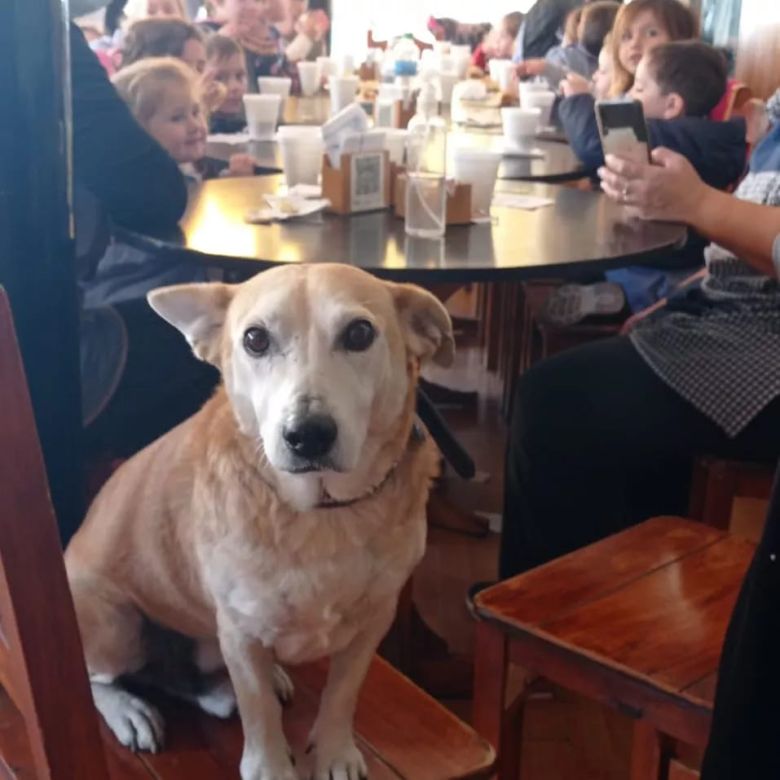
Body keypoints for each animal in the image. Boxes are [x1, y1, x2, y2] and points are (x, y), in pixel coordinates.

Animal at [68, 264, 458, 780]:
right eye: (254, 339)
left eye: (359, 333)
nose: (307, 434)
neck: (321, 513)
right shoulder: (238, 629)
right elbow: (259, 713)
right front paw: (270, 765)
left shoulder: (374, 620)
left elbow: (341, 694)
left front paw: (334, 753)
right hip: (116, 626)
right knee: (97, 676)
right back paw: (129, 710)